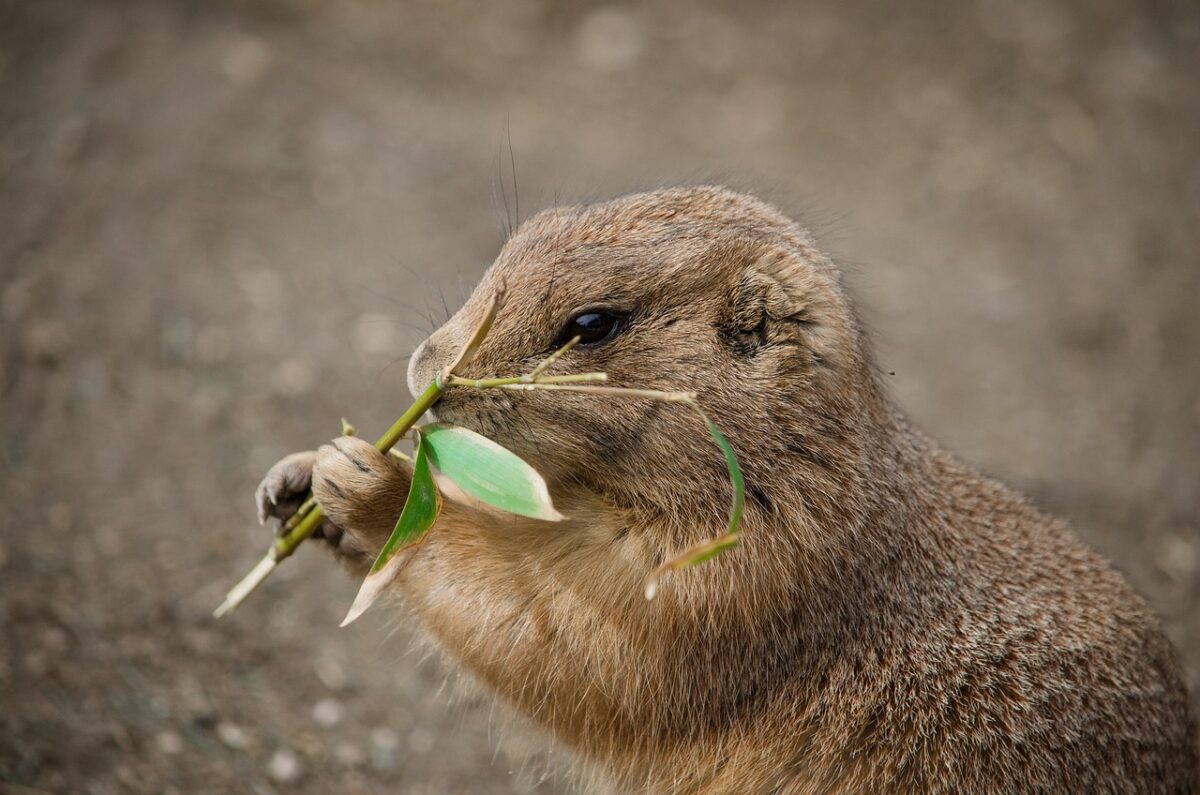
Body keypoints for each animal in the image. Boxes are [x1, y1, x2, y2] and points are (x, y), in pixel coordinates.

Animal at [256, 187, 1198, 793]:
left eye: (592, 324)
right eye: (528, 230)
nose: (423, 368)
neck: (787, 474)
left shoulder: (725, 585)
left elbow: (561, 641)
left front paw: (371, 483)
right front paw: (294, 480)